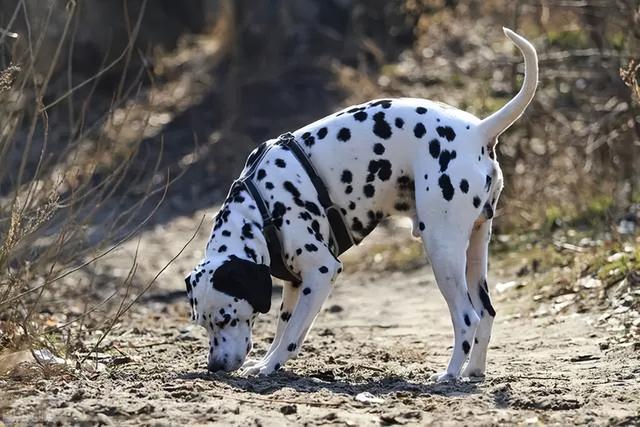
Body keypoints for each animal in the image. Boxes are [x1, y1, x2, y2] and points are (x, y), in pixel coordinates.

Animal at [185, 28, 540, 382]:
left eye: (227, 317)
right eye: (202, 323)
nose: (215, 367)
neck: (260, 208)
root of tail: (478, 131)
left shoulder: (321, 271)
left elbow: (292, 336)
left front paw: (271, 366)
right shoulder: (295, 282)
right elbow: (282, 329)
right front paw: (264, 362)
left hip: (442, 249)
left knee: (468, 317)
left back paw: (449, 374)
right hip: (476, 250)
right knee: (486, 312)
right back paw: (474, 370)